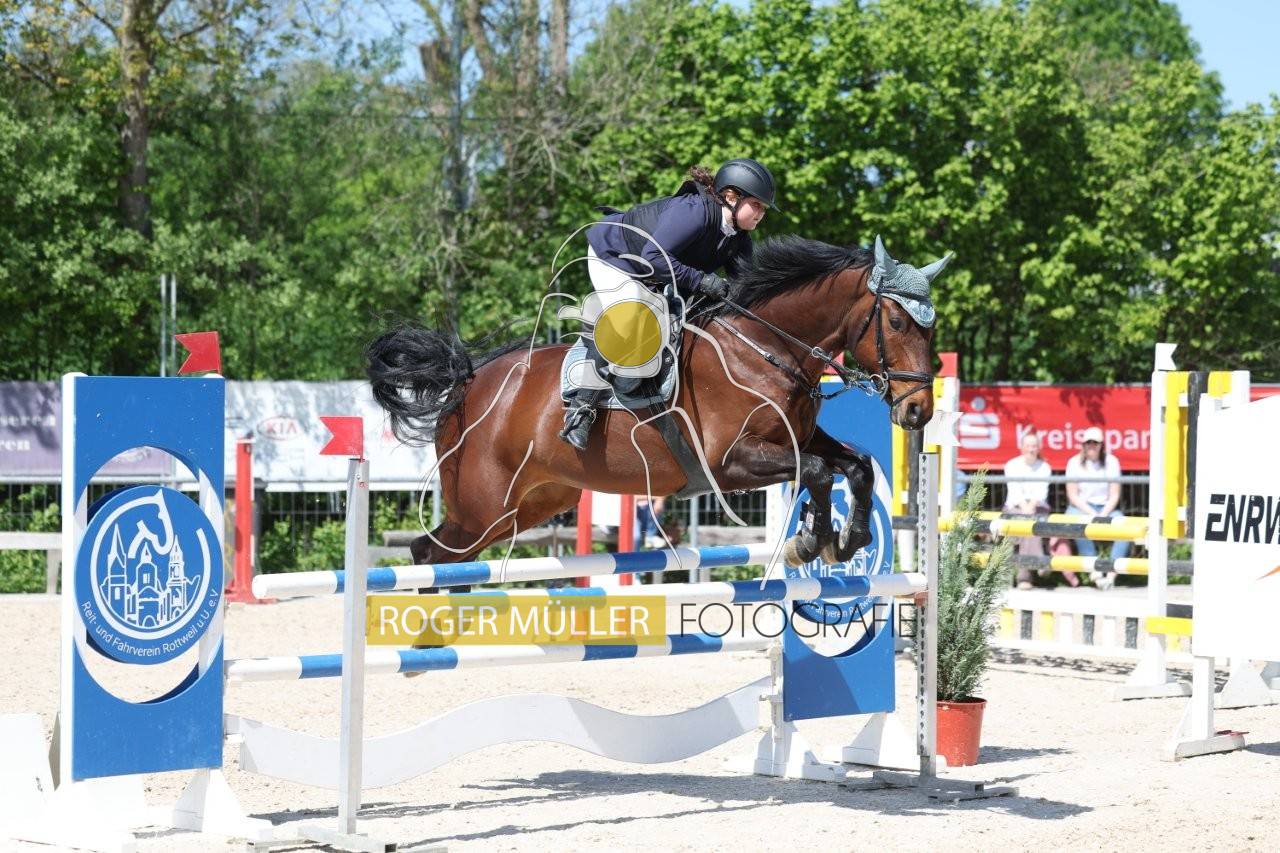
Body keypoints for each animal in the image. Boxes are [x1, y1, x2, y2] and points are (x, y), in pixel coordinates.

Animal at [368, 234, 947, 569]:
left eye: (930, 325)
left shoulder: (799, 438)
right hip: (483, 505)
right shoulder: (729, 463)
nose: (919, 410)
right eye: (897, 322)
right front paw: (813, 541)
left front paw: (844, 540)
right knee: (428, 551)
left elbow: (856, 466)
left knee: (448, 555)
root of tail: (468, 383)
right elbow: (820, 472)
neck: (764, 347)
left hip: (531, 503)